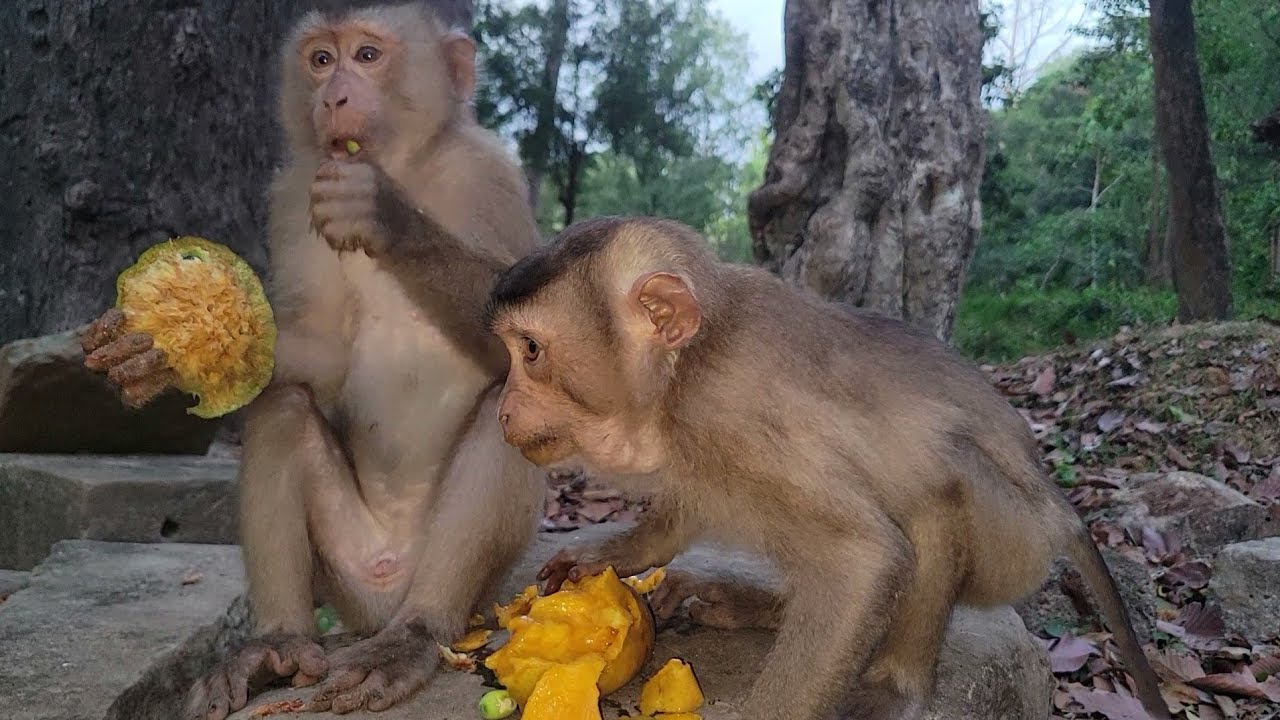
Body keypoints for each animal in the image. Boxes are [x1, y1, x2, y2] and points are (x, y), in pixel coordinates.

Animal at [79, 4, 546, 718]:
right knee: (281, 408)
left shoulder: (486, 172)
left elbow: (523, 341)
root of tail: (382, 593)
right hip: (345, 573)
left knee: (506, 408)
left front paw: (384, 214)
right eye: (321, 60)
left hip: (477, 590)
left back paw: (413, 635)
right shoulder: (294, 191)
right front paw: (166, 355)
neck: (402, 165)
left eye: (368, 55)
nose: (334, 98)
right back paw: (275, 644)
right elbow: (322, 351)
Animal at [474, 216, 1171, 720]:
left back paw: (896, 685)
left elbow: (863, 557)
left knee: (940, 481)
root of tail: (1061, 508)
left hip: (1015, 546)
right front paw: (606, 555)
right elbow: (681, 513)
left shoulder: (725, 407)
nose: (502, 410)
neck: (684, 369)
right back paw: (757, 608)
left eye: (530, 350)